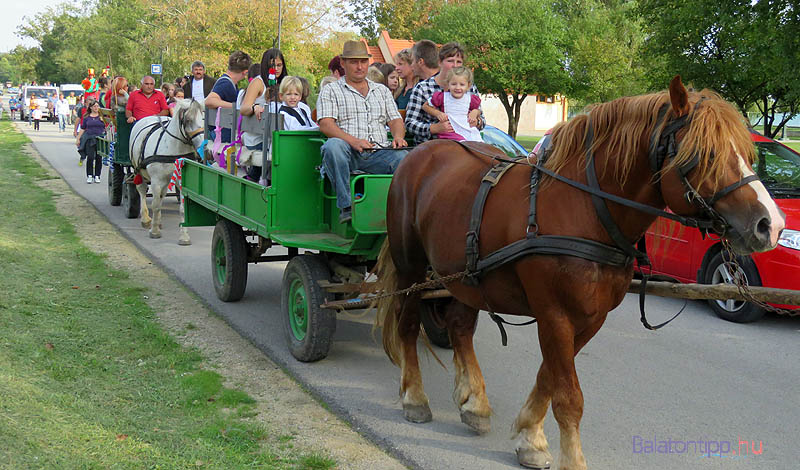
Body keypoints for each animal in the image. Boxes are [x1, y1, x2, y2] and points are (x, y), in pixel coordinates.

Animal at [128, 99, 203, 246]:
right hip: (138, 170)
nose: (203, 145)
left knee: (161, 195)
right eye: (188, 120)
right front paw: (154, 231)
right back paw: (146, 219)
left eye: (202, 118)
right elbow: (156, 205)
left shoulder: (181, 181)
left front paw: (184, 237)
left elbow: (182, 209)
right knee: (142, 190)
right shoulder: (156, 180)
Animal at [372, 78, 784, 470]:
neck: (586, 208)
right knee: (408, 324)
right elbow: (568, 396)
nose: (771, 225)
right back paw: (415, 397)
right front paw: (567, 457)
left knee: (459, 327)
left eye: (748, 153)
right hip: (411, 268)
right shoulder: (554, 315)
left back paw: (474, 402)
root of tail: (420, 154)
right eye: (706, 153)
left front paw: (530, 437)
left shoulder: (590, 318)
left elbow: (549, 379)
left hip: (465, 278)